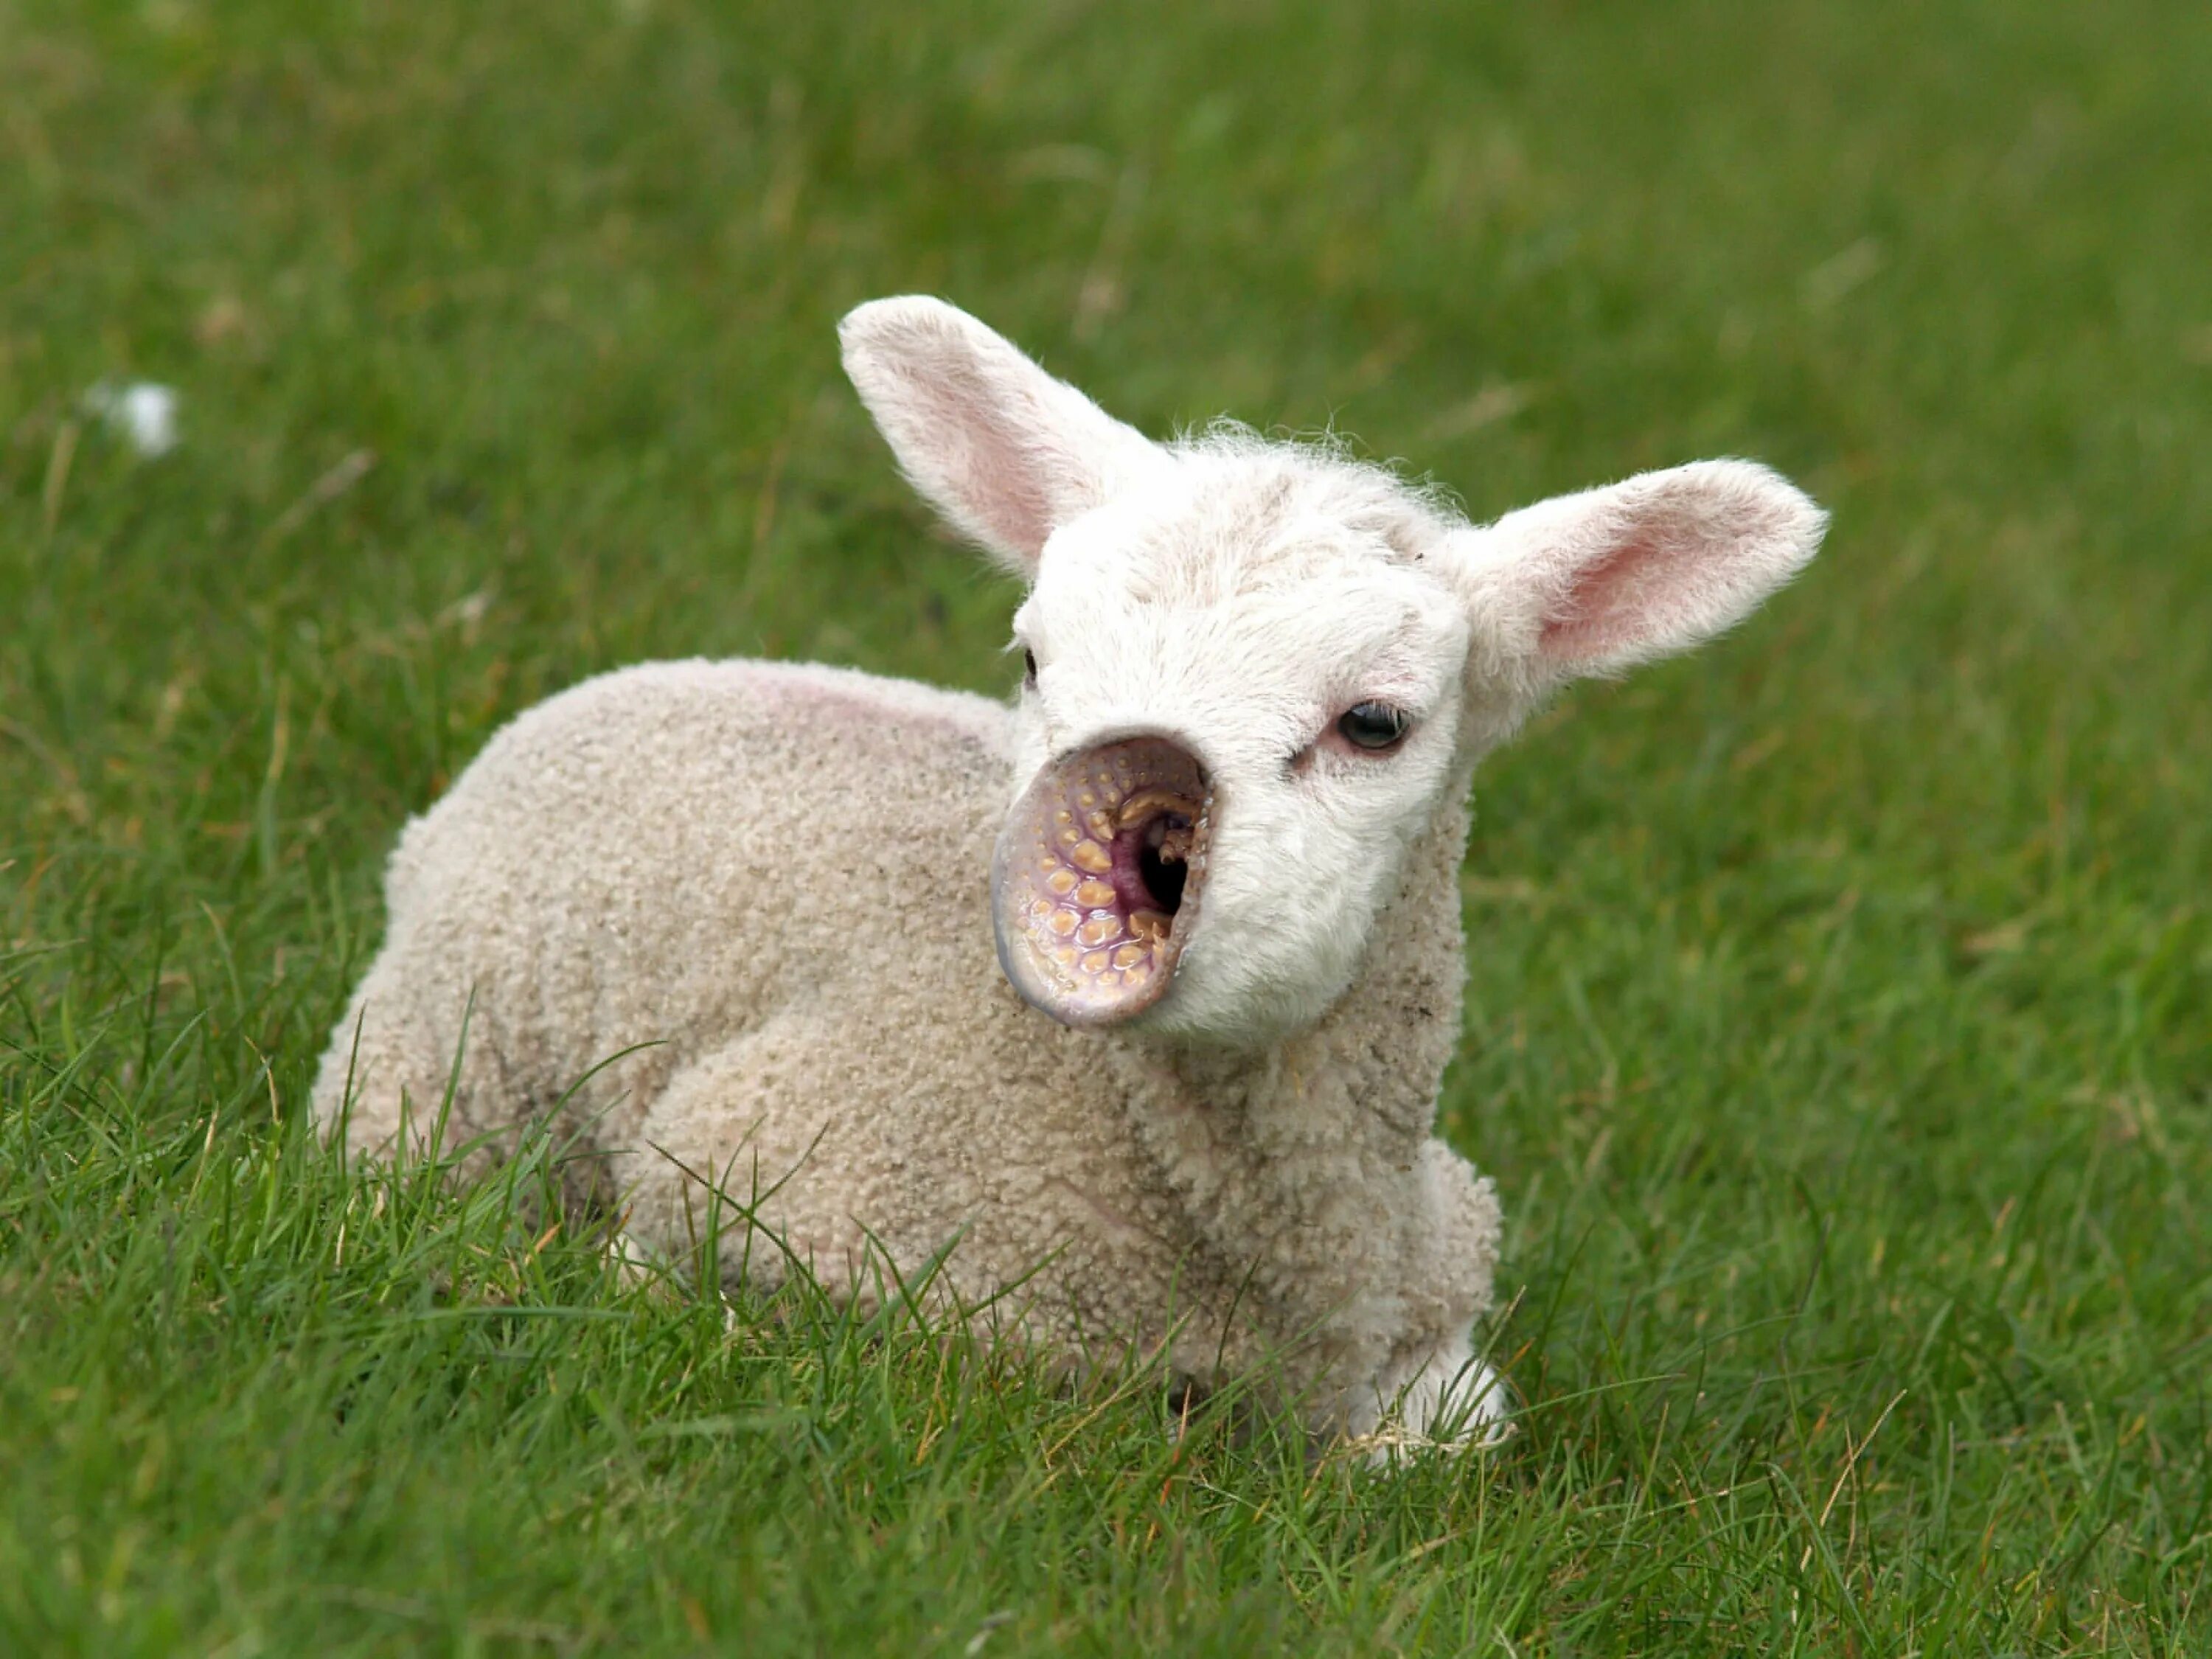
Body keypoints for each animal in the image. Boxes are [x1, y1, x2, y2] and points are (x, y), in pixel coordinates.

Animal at [316, 299, 1832, 1451]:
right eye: (1035, 656)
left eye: (1375, 723)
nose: (1135, 822)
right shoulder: (744, 1178)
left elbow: (1444, 1439)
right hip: (437, 1062)